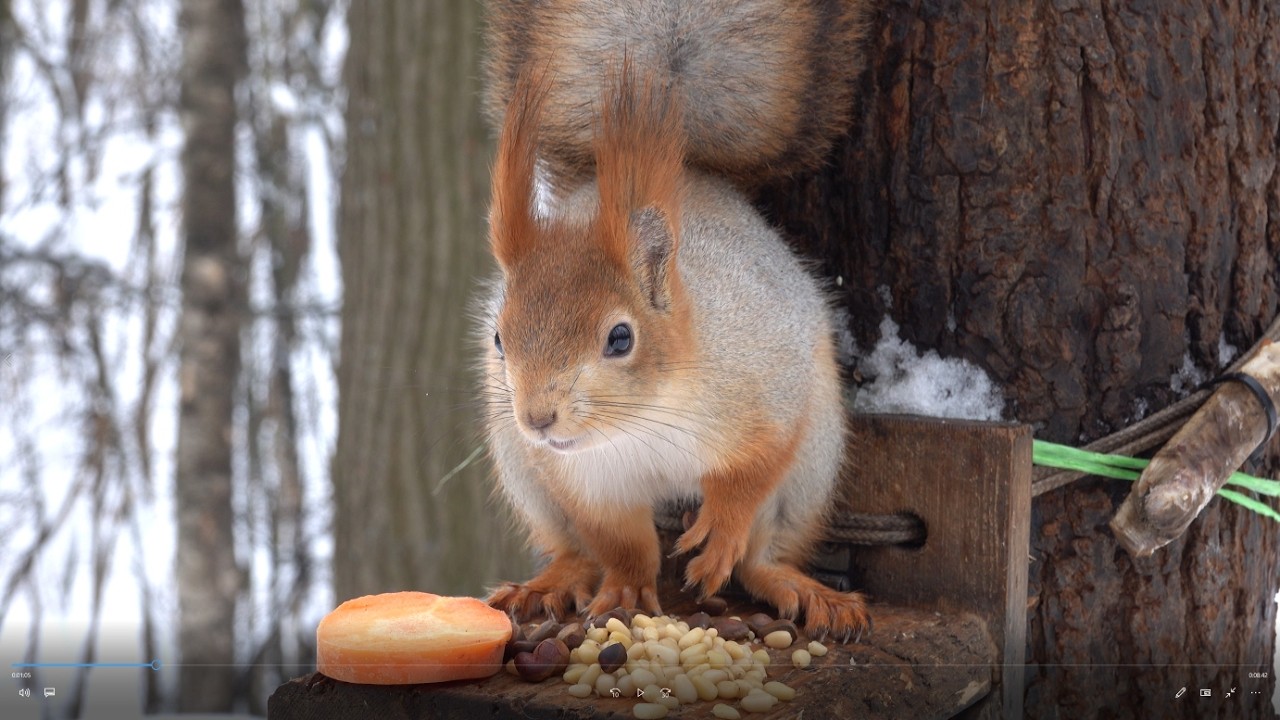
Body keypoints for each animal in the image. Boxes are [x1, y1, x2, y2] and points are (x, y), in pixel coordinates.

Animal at [478, 0, 870, 639]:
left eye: (620, 338)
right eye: (497, 337)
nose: (538, 419)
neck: (643, 420)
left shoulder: (766, 386)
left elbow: (754, 469)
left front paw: (721, 532)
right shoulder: (590, 482)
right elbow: (620, 542)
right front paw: (628, 590)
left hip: (815, 464)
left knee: (765, 551)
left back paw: (796, 585)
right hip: (524, 471)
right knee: (575, 548)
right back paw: (551, 582)